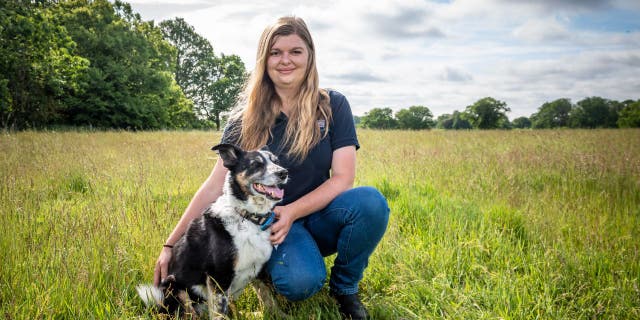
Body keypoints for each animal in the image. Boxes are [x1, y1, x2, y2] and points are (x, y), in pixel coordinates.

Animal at [140, 144, 290, 318]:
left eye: (276, 161)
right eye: (256, 164)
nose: (283, 173)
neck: (247, 217)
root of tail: (159, 309)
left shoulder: (259, 269)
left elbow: (269, 298)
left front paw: (282, 315)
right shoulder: (219, 277)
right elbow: (220, 313)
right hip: (173, 286)